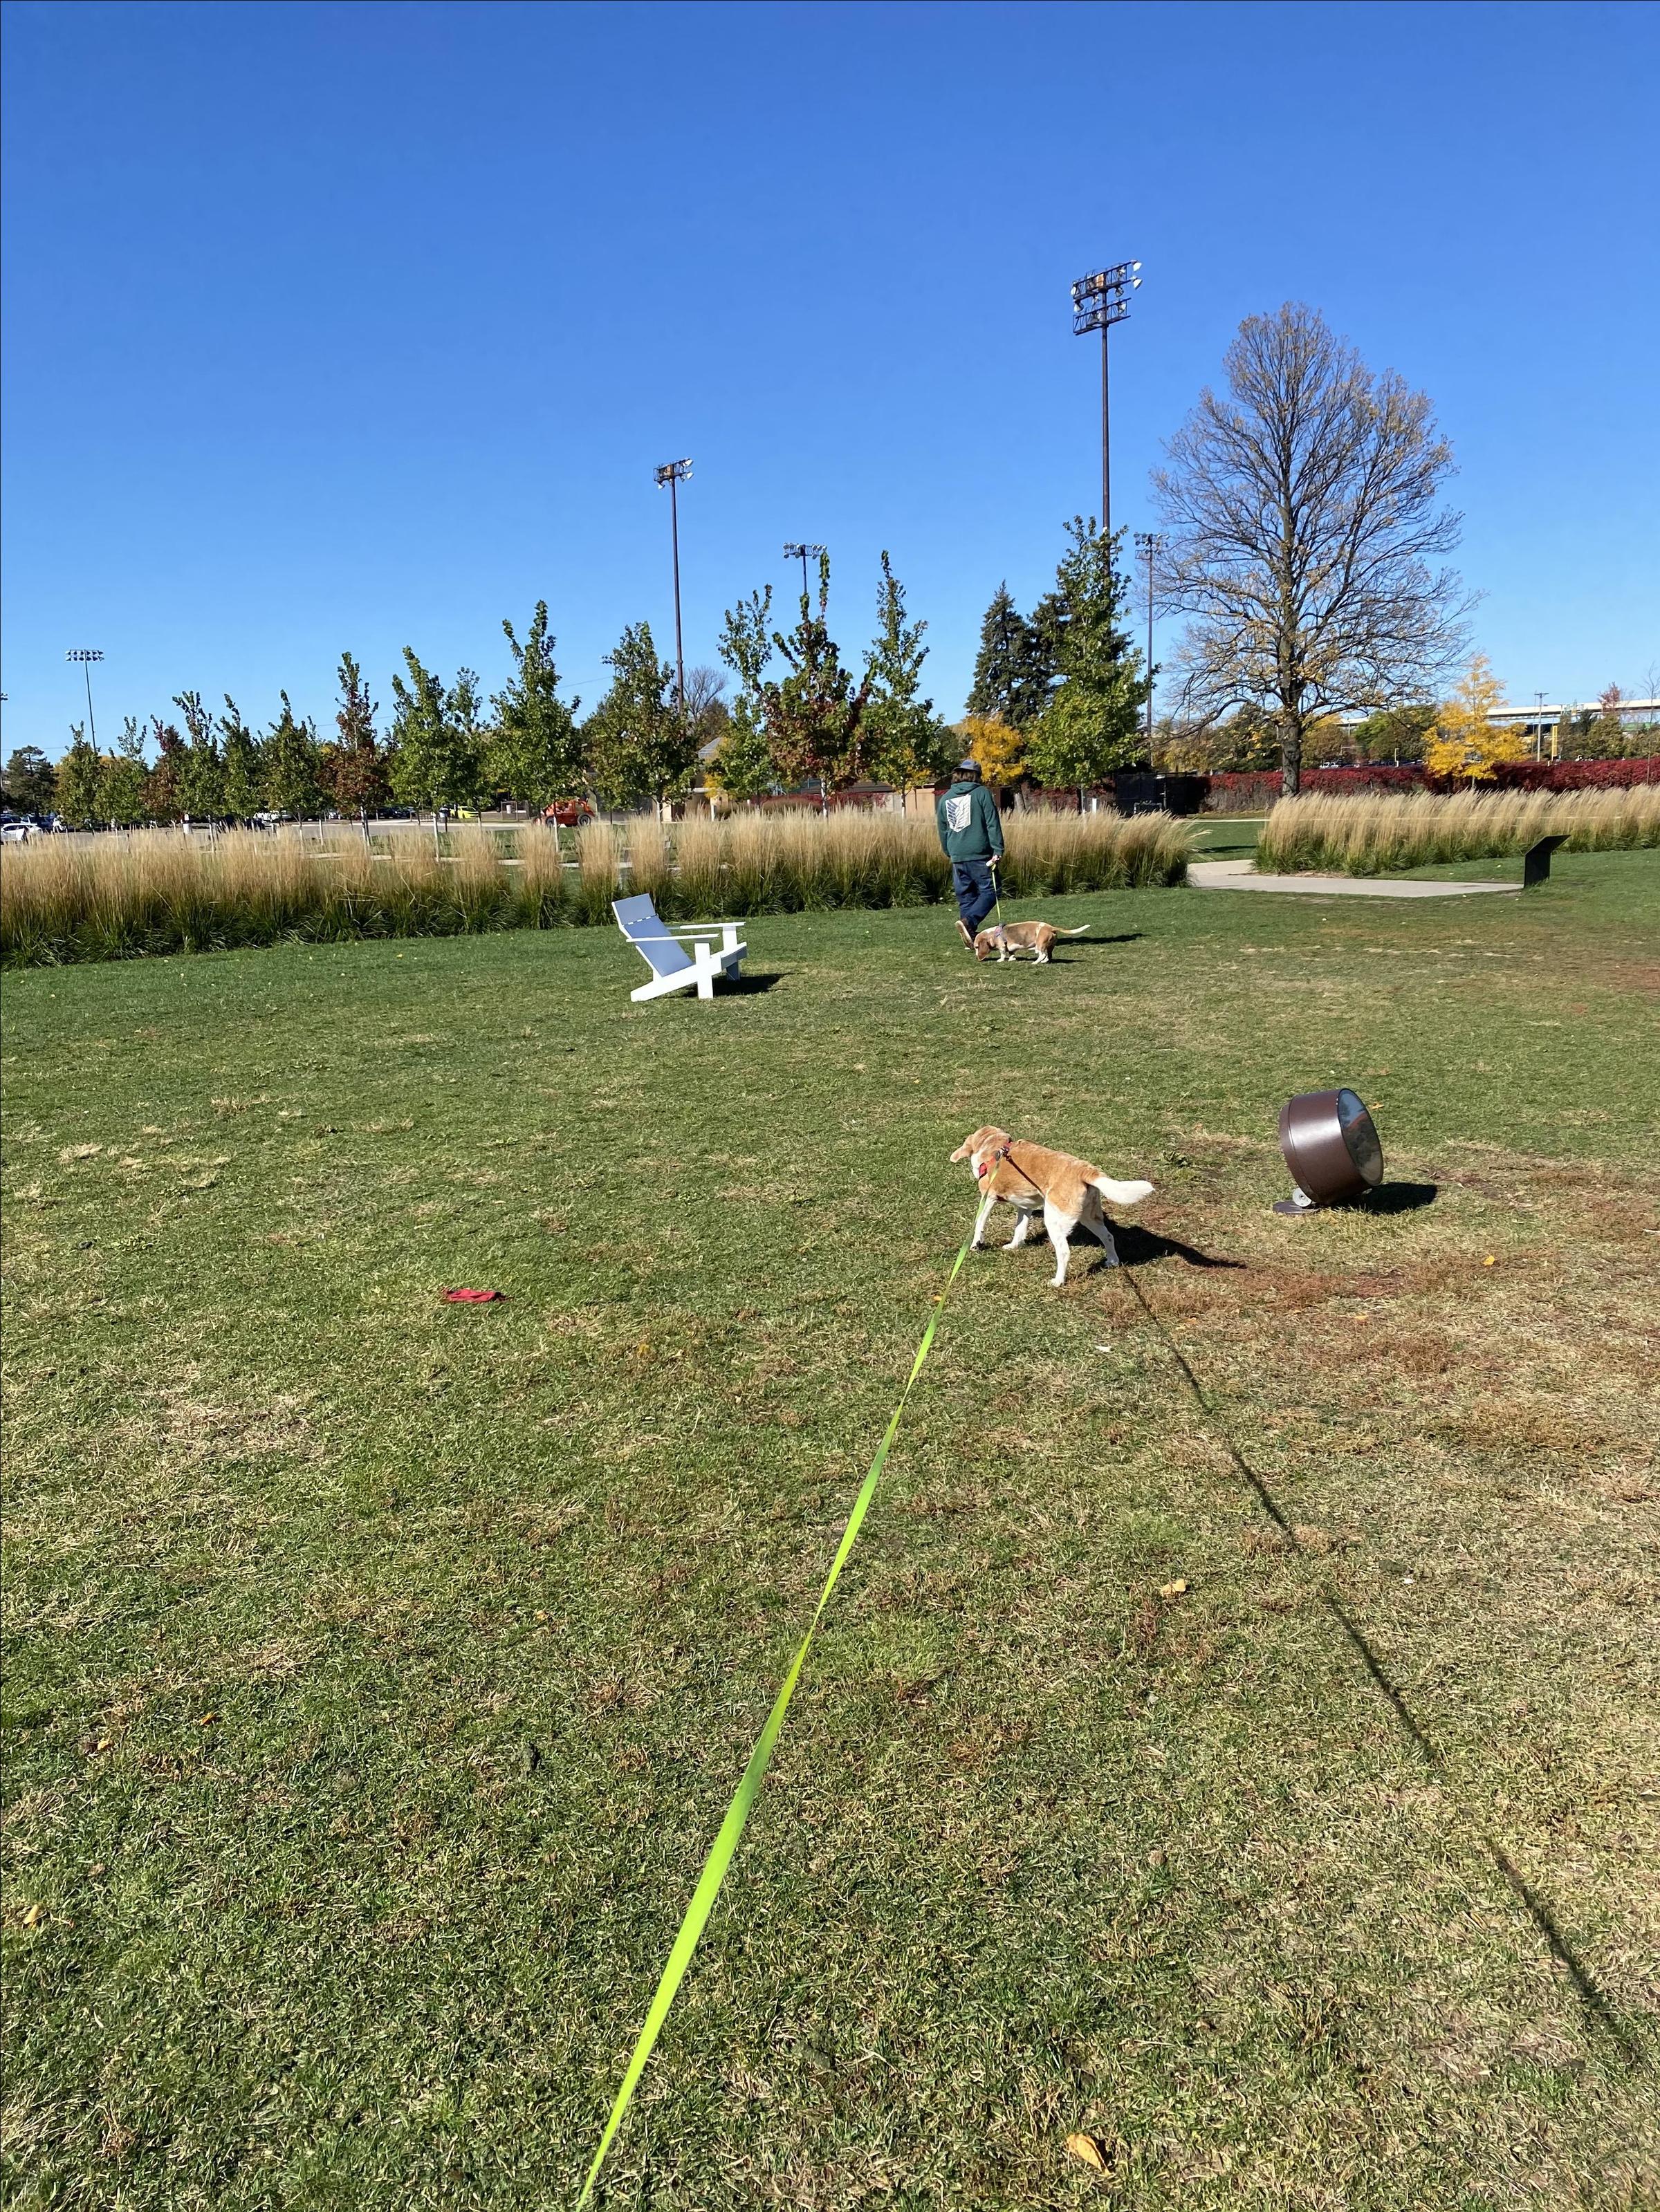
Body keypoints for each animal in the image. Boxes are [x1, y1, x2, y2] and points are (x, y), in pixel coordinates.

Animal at [947, 1124, 1159, 1283]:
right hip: (1089, 1217)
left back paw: (1058, 1281)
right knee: (1108, 1236)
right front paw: (1015, 1245)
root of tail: (1085, 1170)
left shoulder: (988, 1198)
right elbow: (1020, 1228)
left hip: (1054, 1221)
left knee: (1064, 1252)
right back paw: (1113, 1261)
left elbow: (980, 1224)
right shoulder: (1025, 1207)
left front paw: (976, 1244)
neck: (995, 1148)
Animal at [974, 920, 1093, 964]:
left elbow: (1003, 954)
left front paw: (1001, 960)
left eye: (976, 947)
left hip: (1040, 945)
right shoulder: (1012, 948)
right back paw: (1044, 961)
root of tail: (1051, 928)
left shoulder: (1002, 947)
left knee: (1042, 955)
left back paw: (1036, 962)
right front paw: (1012, 959)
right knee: (1048, 956)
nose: (976, 956)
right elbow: (1012, 953)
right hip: (1049, 947)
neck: (993, 934)